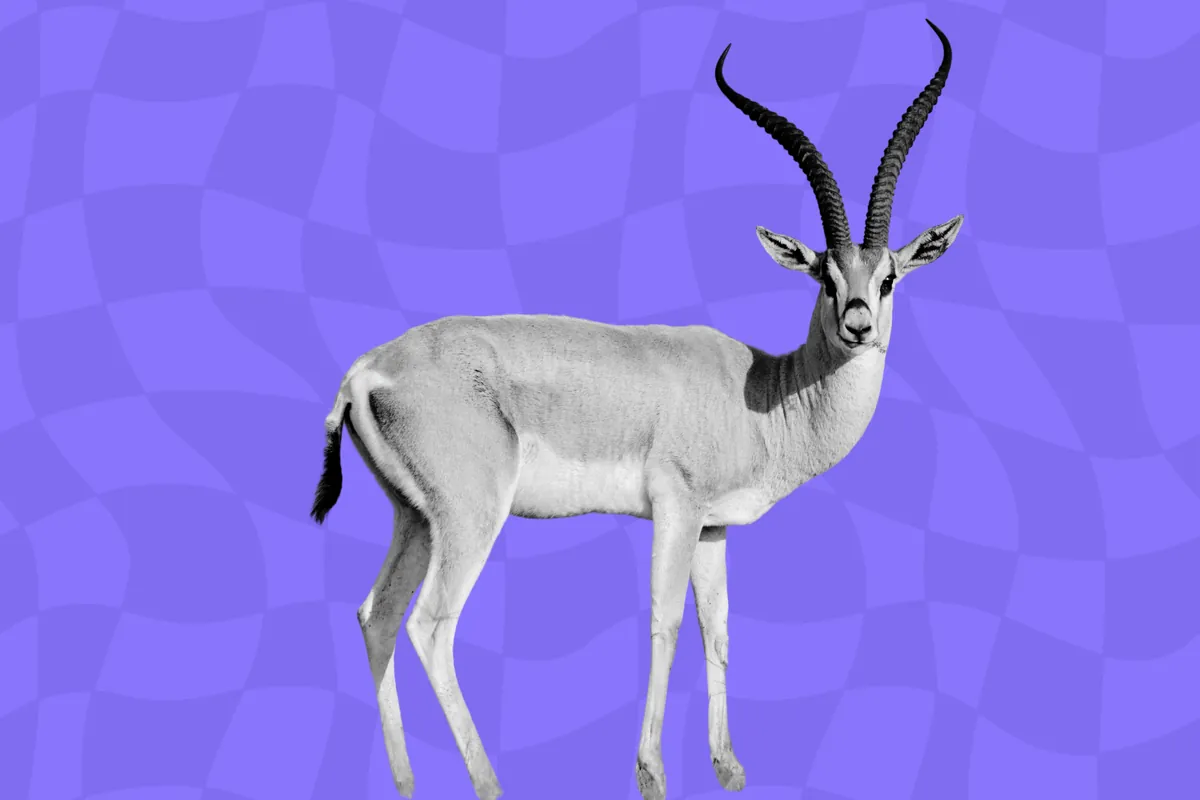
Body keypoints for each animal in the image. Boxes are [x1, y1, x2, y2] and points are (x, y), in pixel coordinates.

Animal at [311, 19, 961, 800]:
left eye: (887, 277)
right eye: (825, 277)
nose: (859, 325)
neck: (763, 396)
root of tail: (366, 369)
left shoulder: (713, 528)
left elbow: (718, 630)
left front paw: (729, 767)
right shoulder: (675, 511)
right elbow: (666, 623)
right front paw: (652, 772)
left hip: (414, 518)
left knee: (376, 616)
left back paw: (406, 782)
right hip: (470, 519)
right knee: (431, 625)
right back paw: (491, 781)